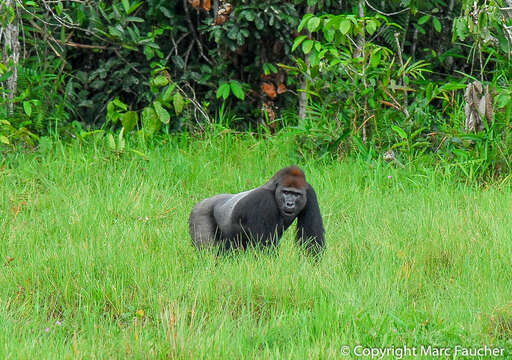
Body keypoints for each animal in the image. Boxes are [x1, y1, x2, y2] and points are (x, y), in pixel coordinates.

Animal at [188, 165, 324, 253]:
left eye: (296, 194)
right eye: (285, 192)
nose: (289, 203)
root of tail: (199, 203)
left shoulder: (310, 193)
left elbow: (311, 238)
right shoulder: (264, 201)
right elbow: (264, 246)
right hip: (199, 214)